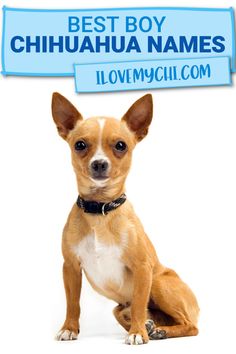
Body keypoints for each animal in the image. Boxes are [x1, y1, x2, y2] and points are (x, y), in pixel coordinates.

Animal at [51, 92, 199, 344]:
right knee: (129, 313)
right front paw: (69, 328)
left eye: (121, 145)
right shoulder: (70, 268)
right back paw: (152, 325)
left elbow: (139, 303)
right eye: (80, 145)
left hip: (158, 282)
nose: (99, 163)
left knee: (190, 326)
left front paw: (137, 333)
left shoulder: (142, 269)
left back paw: (159, 330)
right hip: (119, 307)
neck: (100, 210)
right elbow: (73, 303)